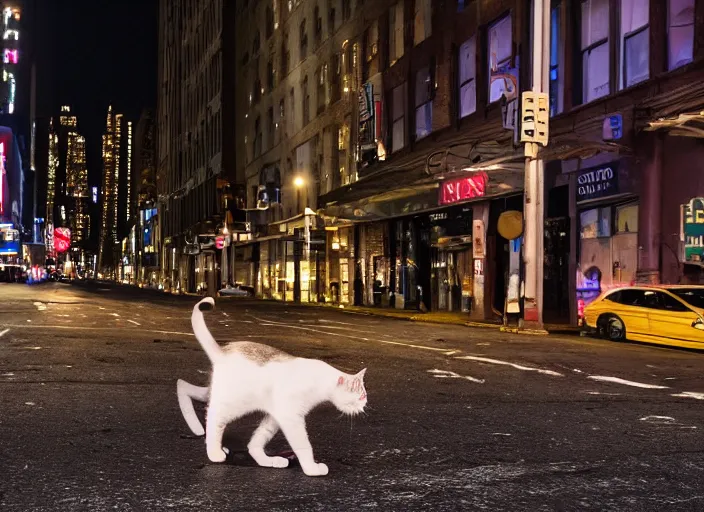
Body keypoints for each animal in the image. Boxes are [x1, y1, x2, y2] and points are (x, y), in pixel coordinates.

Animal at [177, 296, 368, 476]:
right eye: (361, 396)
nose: (365, 403)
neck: (320, 379)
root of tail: (223, 352)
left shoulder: (275, 416)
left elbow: (256, 441)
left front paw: (266, 459)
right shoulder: (291, 417)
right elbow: (303, 445)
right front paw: (311, 468)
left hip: (218, 394)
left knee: (182, 385)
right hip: (233, 404)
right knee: (213, 417)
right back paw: (214, 451)